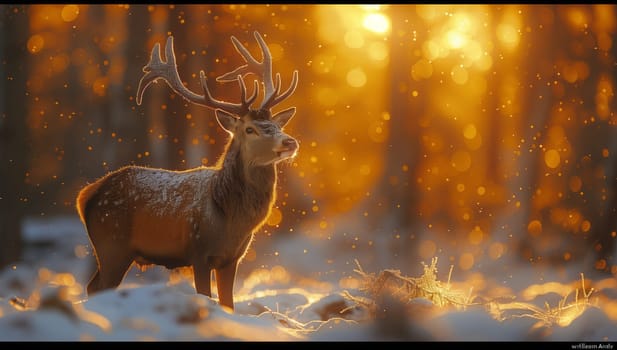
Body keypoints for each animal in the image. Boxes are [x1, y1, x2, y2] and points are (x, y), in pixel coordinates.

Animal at [77, 31, 298, 310]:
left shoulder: (232, 258)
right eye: (250, 129)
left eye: (277, 126)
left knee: (93, 286)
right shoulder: (198, 252)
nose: (289, 142)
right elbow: (205, 296)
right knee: (99, 286)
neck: (230, 219)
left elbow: (228, 304)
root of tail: (87, 194)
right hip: (111, 244)